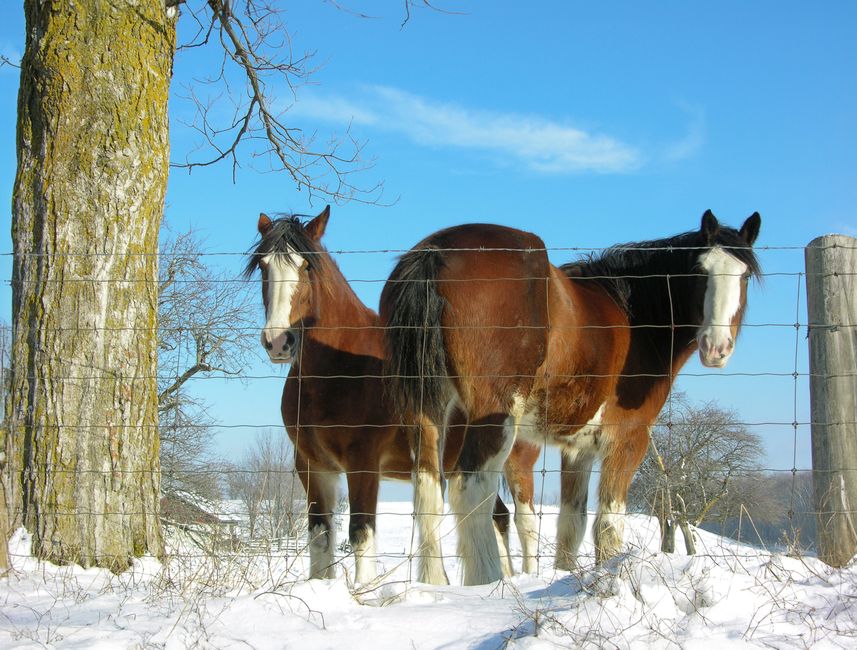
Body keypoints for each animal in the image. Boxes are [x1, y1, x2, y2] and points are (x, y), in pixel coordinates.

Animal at [244, 205, 525, 585]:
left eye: (307, 266)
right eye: (263, 266)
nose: (278, 341)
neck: (338, 369)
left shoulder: (363, 463)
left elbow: (361, 532)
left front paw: (364, 590)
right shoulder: (312, 466)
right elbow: (319, 535)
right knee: (497, 516)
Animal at [380, 210, 761, 585]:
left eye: (744, 276)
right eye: (700, 271)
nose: (716, 347)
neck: (634, 318)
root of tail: (437, 252)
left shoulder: (578, 450)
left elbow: (571, 525)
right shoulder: (627, 440)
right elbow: (608, 524)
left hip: (427, 411)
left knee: (429, 488)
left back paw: (434, 584)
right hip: (495, 416)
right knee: (470, 488)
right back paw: (488, 582)